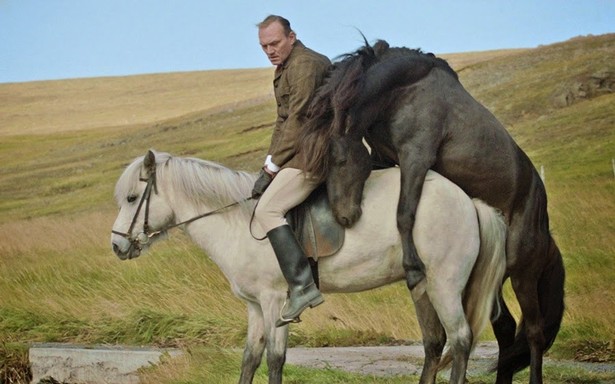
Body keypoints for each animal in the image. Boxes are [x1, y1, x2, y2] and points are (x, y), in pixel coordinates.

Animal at [110, 151, 506, 384]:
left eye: (132, 198)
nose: (117, 245)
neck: (238, 222)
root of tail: (468, 201)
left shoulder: (275, 302)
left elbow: (274, 359)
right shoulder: (255, 307)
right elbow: (250, 359)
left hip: (444, 285)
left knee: (460, 340)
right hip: (421, 285)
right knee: (434, 343)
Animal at [300, 40, 568, 382]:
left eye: (340, 160)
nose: (344, 216)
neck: (403, 89)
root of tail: (545, 228)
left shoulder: (416, 156)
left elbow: (404, 212)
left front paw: (413, 268)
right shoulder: (384, 158)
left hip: (523, 275)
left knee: (533, 332)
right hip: (493, 279)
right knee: (506, 328)